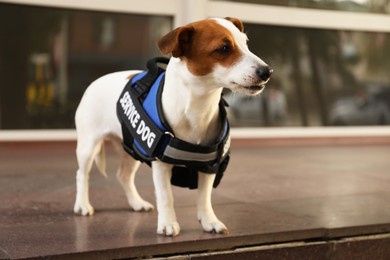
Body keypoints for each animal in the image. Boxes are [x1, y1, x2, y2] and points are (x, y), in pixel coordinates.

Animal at [74, 16, 272, 236]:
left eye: (246, 43)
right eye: (223, 48)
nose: (267, 71)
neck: (198, 106)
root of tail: (96, 81)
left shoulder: (209, 165)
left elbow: (204, 196)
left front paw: (209, 220)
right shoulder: (161, 163)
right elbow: (166, 196)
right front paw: (168, 223)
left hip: (131, 146)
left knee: (123, 176)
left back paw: (136, 203)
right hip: (88, 146)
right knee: (82, 174)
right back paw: (82, 205)